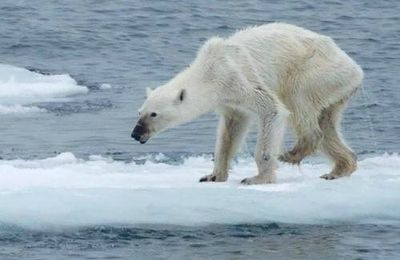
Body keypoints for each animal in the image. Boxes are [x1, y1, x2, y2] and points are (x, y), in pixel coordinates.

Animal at [131, 22, 362, 185]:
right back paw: (339, 169)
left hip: (315, 72)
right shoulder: (228, 100)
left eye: (153, 114)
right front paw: (213, 175)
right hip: (335, 89)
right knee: (327, 123)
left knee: (299, 102)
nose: (135, 134)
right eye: (139, 112)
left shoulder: (237, 78)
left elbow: (272, 109)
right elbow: (230, 130)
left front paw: (257, 178)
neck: (209, 71)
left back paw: (292, 153)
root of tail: (356, 69)